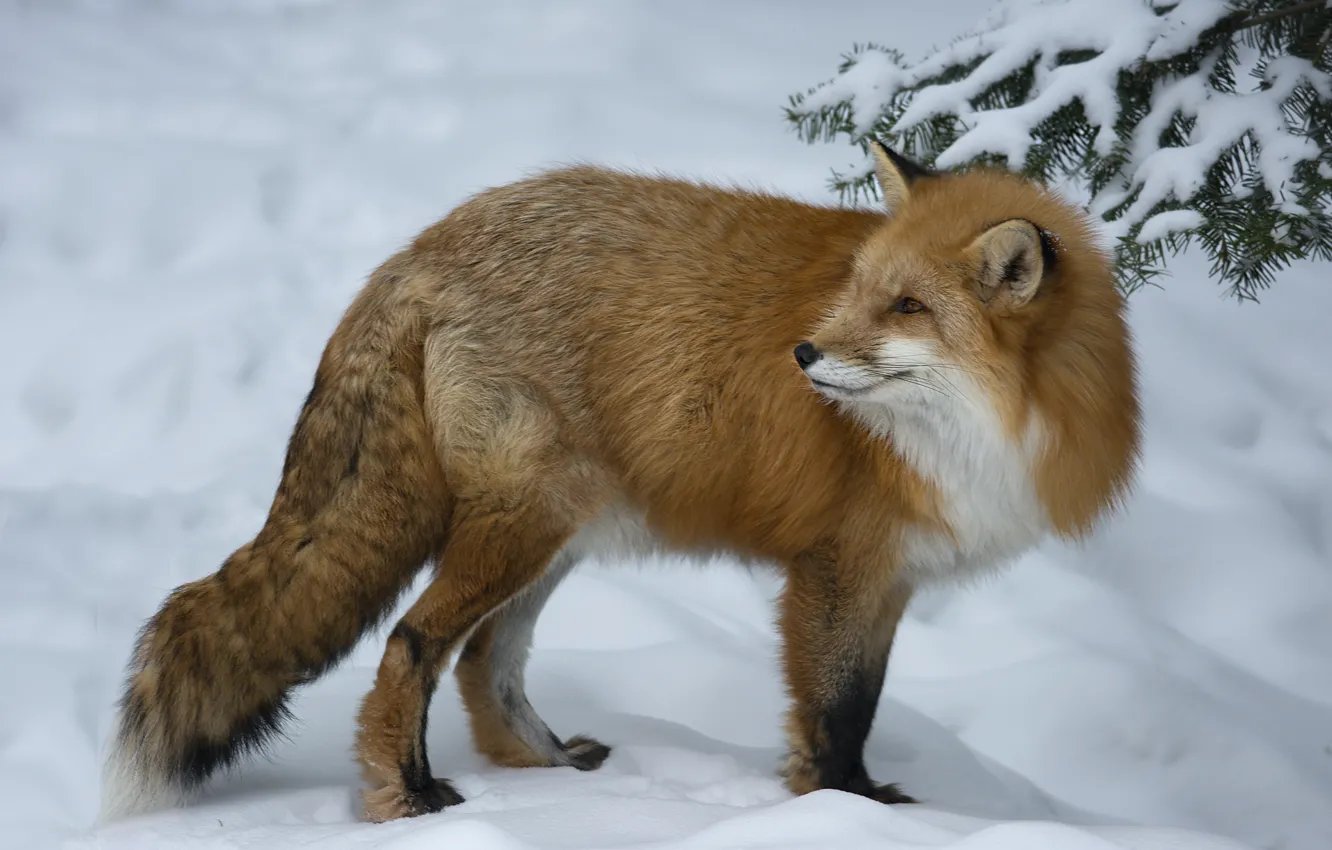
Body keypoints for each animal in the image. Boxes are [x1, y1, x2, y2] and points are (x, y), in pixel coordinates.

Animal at [103, 145, 1140, 826]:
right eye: (860, 291)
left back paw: (547, 768)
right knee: (414, 645)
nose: (803, 353)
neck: (992, 427)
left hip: (561, 533)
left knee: (486, 663)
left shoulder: (892, 579)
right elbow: (837, 713)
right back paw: (409, 794)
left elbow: (861, 703)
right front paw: (844, 812)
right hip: (527, 521)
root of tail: (419, 248)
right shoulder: (837, 569)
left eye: (909, 307)